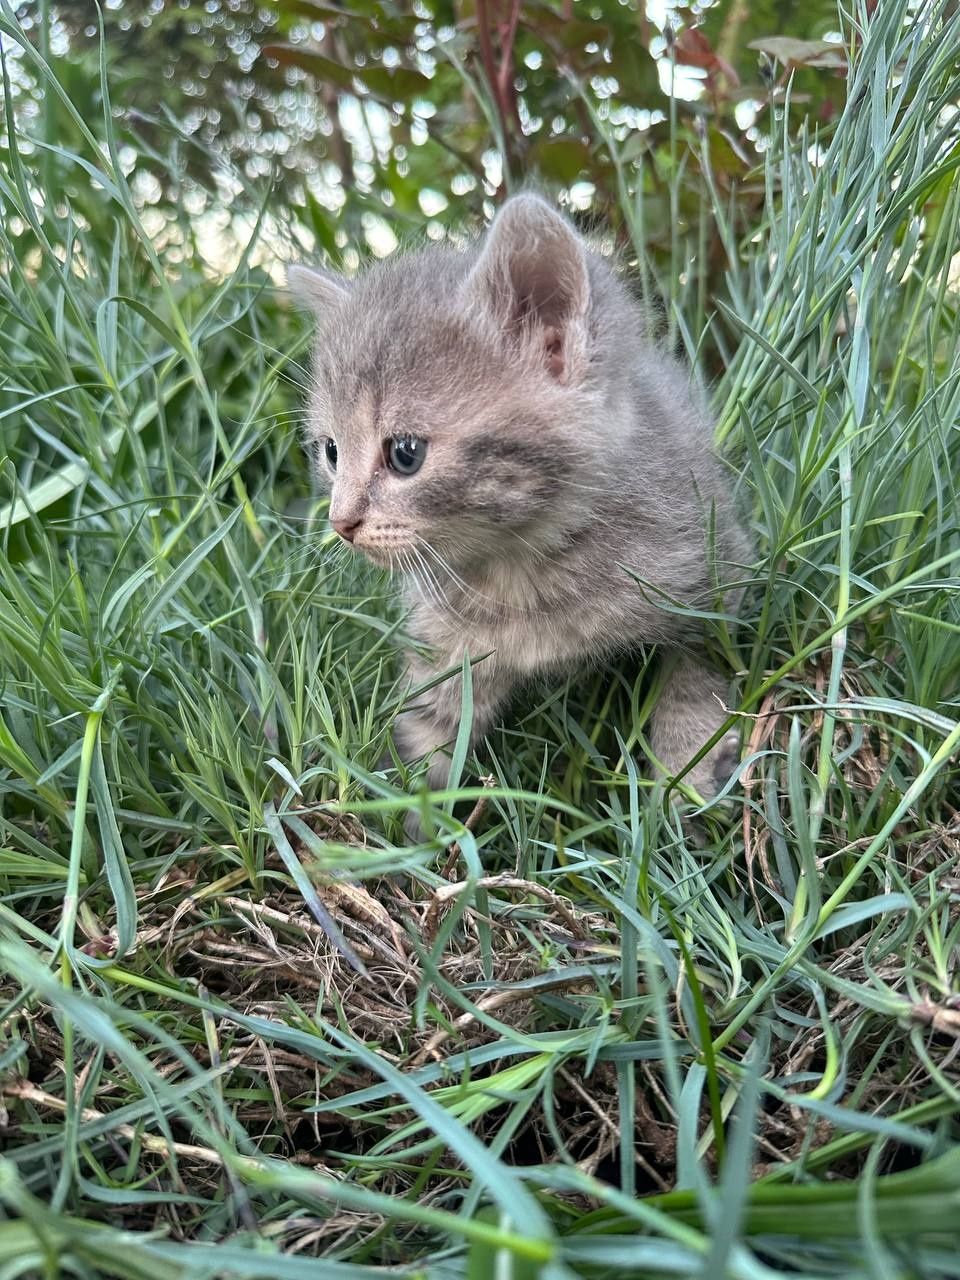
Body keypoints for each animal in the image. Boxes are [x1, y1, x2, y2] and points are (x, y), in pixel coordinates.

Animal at [289, 194, 757, 814]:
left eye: (406, 453)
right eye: (331, 452)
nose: (341, 522)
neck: (523, 572)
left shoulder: (714, 569)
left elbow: (697, 664)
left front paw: (687, 767)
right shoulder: (444, 649)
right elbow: (427, 736)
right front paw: (402, 820)